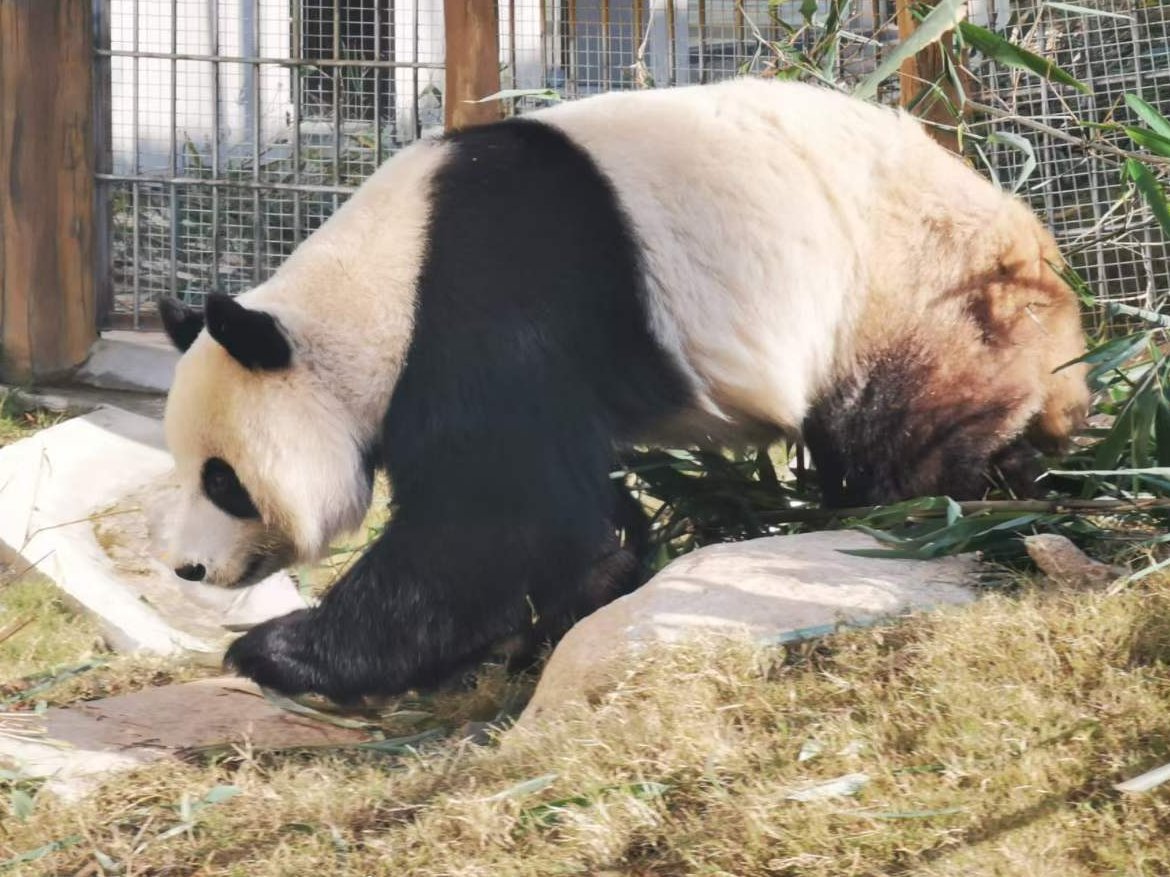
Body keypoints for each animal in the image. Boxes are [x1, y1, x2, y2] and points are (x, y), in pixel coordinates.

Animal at [158, 77, 1089, 703]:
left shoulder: (483, 296)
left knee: (901, 424)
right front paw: (598, 576)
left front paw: (275, 649)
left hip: (909, 297)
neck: (372, 290)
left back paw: (932, 502)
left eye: (221, 478)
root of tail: (1044, 251)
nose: (188, 567)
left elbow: (495, 518)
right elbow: (556, 506)